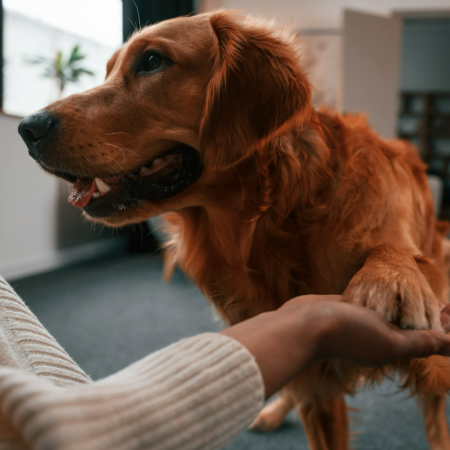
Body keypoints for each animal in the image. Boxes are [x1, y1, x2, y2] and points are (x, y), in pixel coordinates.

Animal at [18, 11, 450, 450]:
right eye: (107, 71)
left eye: (153, 61)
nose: (27, 128)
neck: (278, 217)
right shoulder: (314, 375)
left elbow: (394, 253)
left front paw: (391, 278)